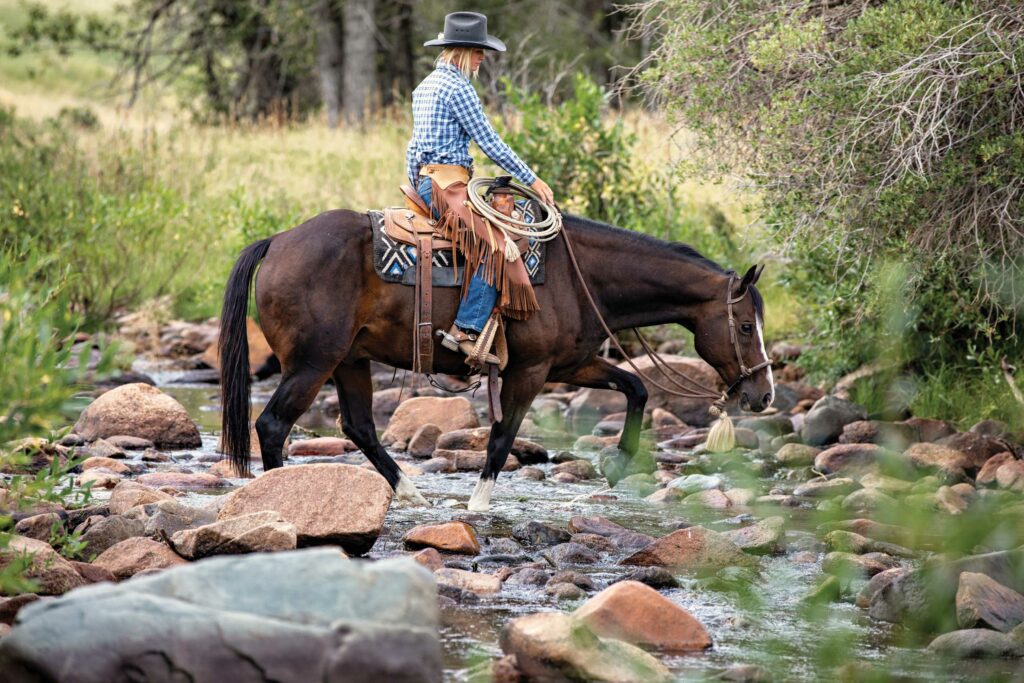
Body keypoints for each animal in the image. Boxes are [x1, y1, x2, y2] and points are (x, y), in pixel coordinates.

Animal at [218, 210, 774, 509]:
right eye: (746, 327)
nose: (763, 395)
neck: (582, 278)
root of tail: (279, 241)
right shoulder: (529, 370)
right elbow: (504, 434)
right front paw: (480, 501)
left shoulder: (569, 365)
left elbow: (635, 388)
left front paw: (619, 461)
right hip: (313, 363)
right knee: (272, 424)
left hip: (349, 361)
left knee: (358, 426)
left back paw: (410, 493)